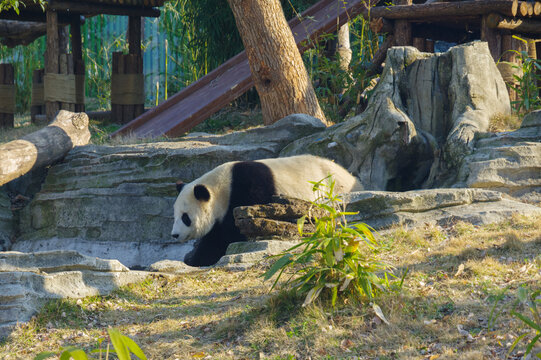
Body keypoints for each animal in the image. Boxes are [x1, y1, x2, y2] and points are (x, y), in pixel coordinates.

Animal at [171, 153, 360, 266]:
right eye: (175, 216)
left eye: (185, 217)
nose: (174, 235)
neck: (223, 187)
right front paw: (192, 254)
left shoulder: (247, 191)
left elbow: (227, 235)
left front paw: (195, 257)